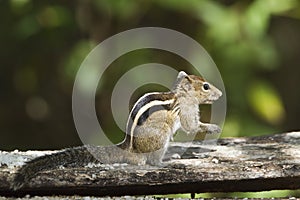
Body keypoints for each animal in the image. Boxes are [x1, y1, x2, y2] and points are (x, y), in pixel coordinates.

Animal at [11, 71, 221, 190]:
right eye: (205, 86)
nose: (220, 94)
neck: (183, 96)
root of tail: (129, 149)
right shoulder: (186, 111)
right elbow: (191, 126)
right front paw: (212, 127)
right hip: (161, 135)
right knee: (152, 162)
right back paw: (167, 163)